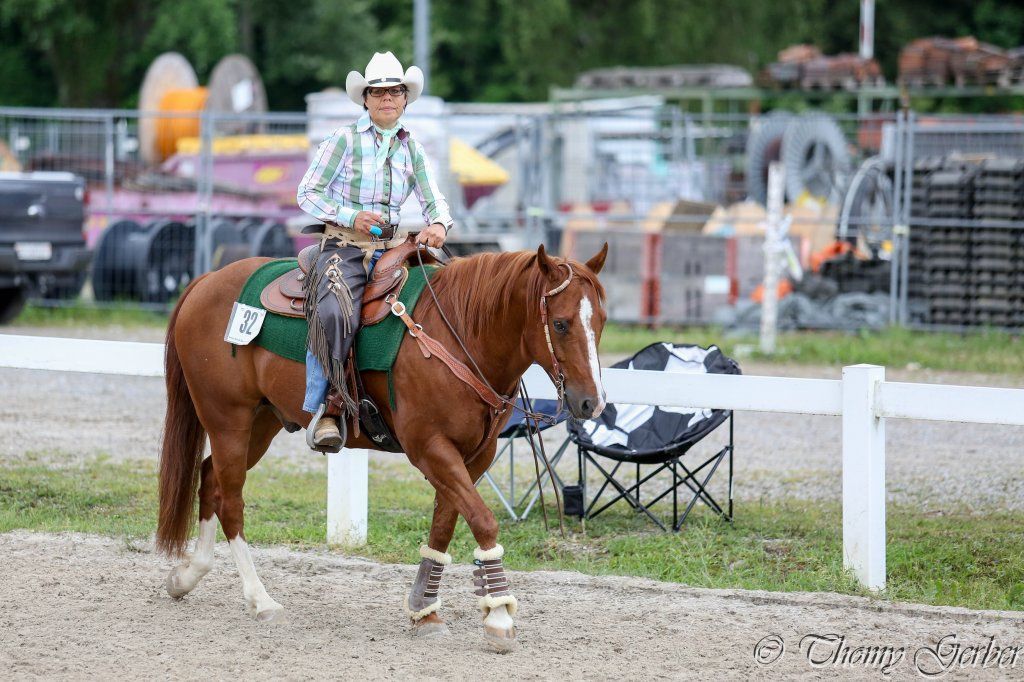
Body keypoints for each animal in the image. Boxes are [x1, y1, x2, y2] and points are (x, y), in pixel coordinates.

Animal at [155, 242, 608, 651]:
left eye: (601, 320)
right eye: (562, 323)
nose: (592, 402)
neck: (459, 335)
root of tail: (206, 282)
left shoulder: (474, 456)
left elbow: (444, 526)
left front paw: (425, 611)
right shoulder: (429, 448)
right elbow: (482, 520)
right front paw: (498, 615)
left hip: (261, 422)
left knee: (210, 479)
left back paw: (186, 576)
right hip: (227, 418)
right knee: (231, 499)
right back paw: (260, 600)